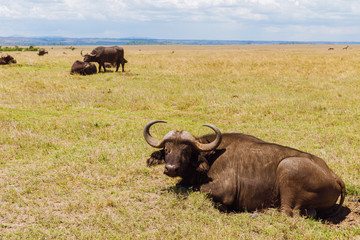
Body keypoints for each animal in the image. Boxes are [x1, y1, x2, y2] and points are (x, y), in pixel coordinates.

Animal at [143, 120, 346, 218]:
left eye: (186, 151)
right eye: (167, 149)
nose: (171, 168)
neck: (210, 156)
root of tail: (334, 176)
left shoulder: (224, 190)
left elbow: (201, 190)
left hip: (287, 167)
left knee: (287, 212)